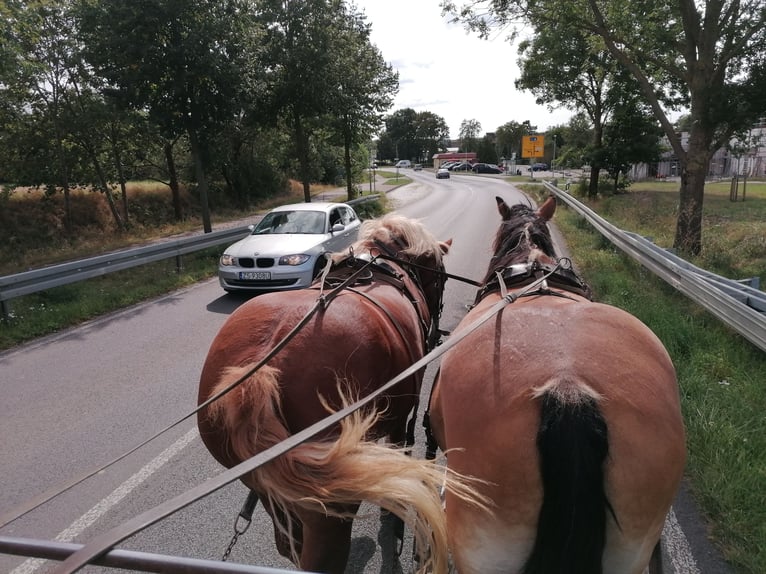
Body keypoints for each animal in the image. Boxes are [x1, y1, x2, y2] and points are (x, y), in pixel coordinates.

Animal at [198, 215, 462, 574]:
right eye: (443, 276)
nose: (436, 331)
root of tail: (260, 372)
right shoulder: (400, 420)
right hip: (329, 498)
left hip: (267, 485)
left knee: (289, 544)